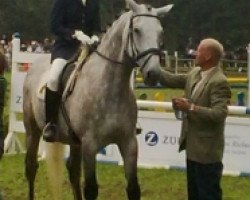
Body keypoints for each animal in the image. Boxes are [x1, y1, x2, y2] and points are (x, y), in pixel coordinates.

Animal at [23, 0, 173, 199]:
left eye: (160, 32)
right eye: (137, 30)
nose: (153, 74)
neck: (110, 88)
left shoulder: (129, 143)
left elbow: (133, 188)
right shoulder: (90, 144)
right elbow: (91, 189)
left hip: (74, 141)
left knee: (73, 170)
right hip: (32, 130)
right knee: (31, 167)